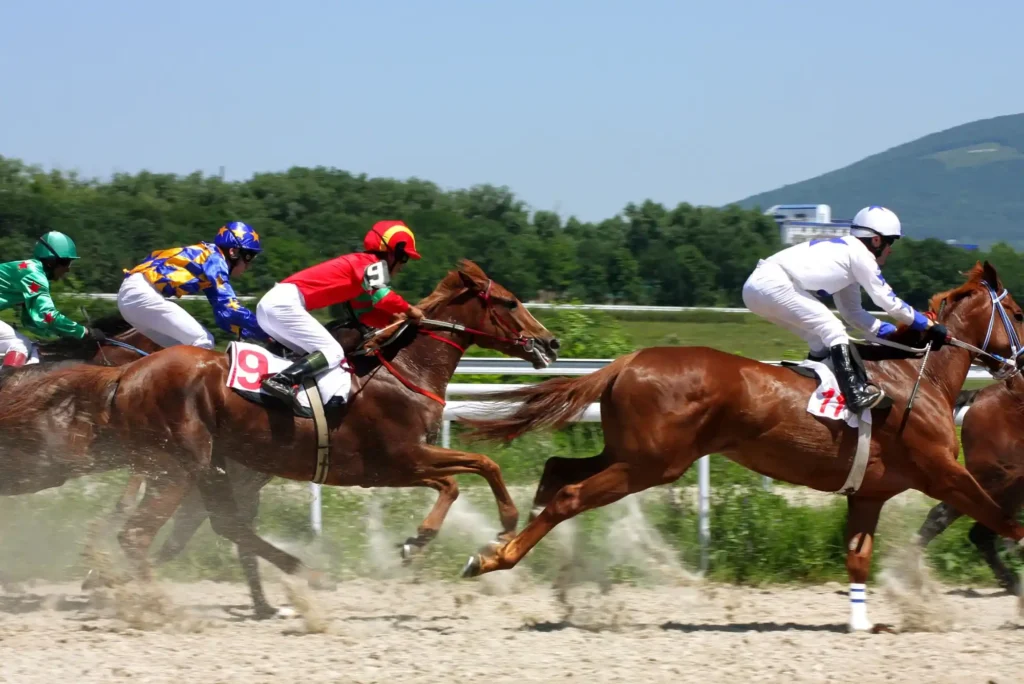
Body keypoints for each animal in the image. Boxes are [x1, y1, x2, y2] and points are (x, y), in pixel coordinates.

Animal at [0, 260, 560, 617]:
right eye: (510, 301)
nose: (551, 343)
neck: (399, 370)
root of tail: (125, 373)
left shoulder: (403, 459)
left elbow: (476, 468)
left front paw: (494, 530)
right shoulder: (396, 461)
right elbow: (466, 474)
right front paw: (429, 538)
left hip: (199, 466)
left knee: (204, 528)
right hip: (175, 466)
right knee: (139, 534)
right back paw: (157, 605)